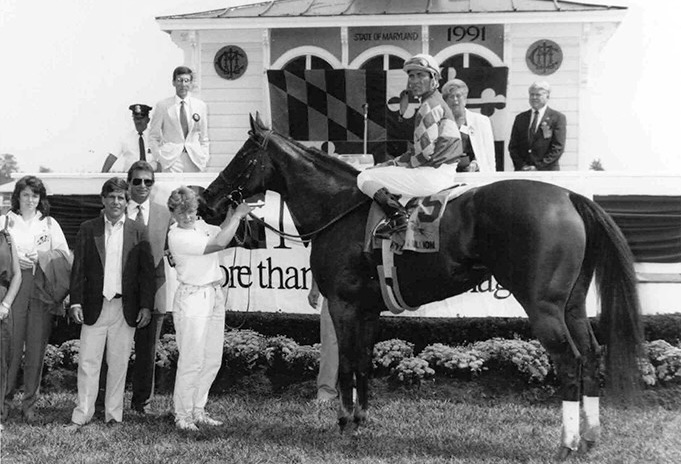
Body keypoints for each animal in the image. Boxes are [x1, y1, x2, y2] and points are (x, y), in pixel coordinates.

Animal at [199, 114, 640, 458]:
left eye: (241, 157)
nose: (206, 203)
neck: (339, 209)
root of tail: (568, 195)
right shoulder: (367, 308)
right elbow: (363, 362)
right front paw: (360, 420)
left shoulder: (342, 305)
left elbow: (346, 365)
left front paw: (343, 422)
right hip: (573, 305)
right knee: (592, 355)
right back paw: (589, 439)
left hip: (543, 306)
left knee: (569, 362)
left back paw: (567, 444)